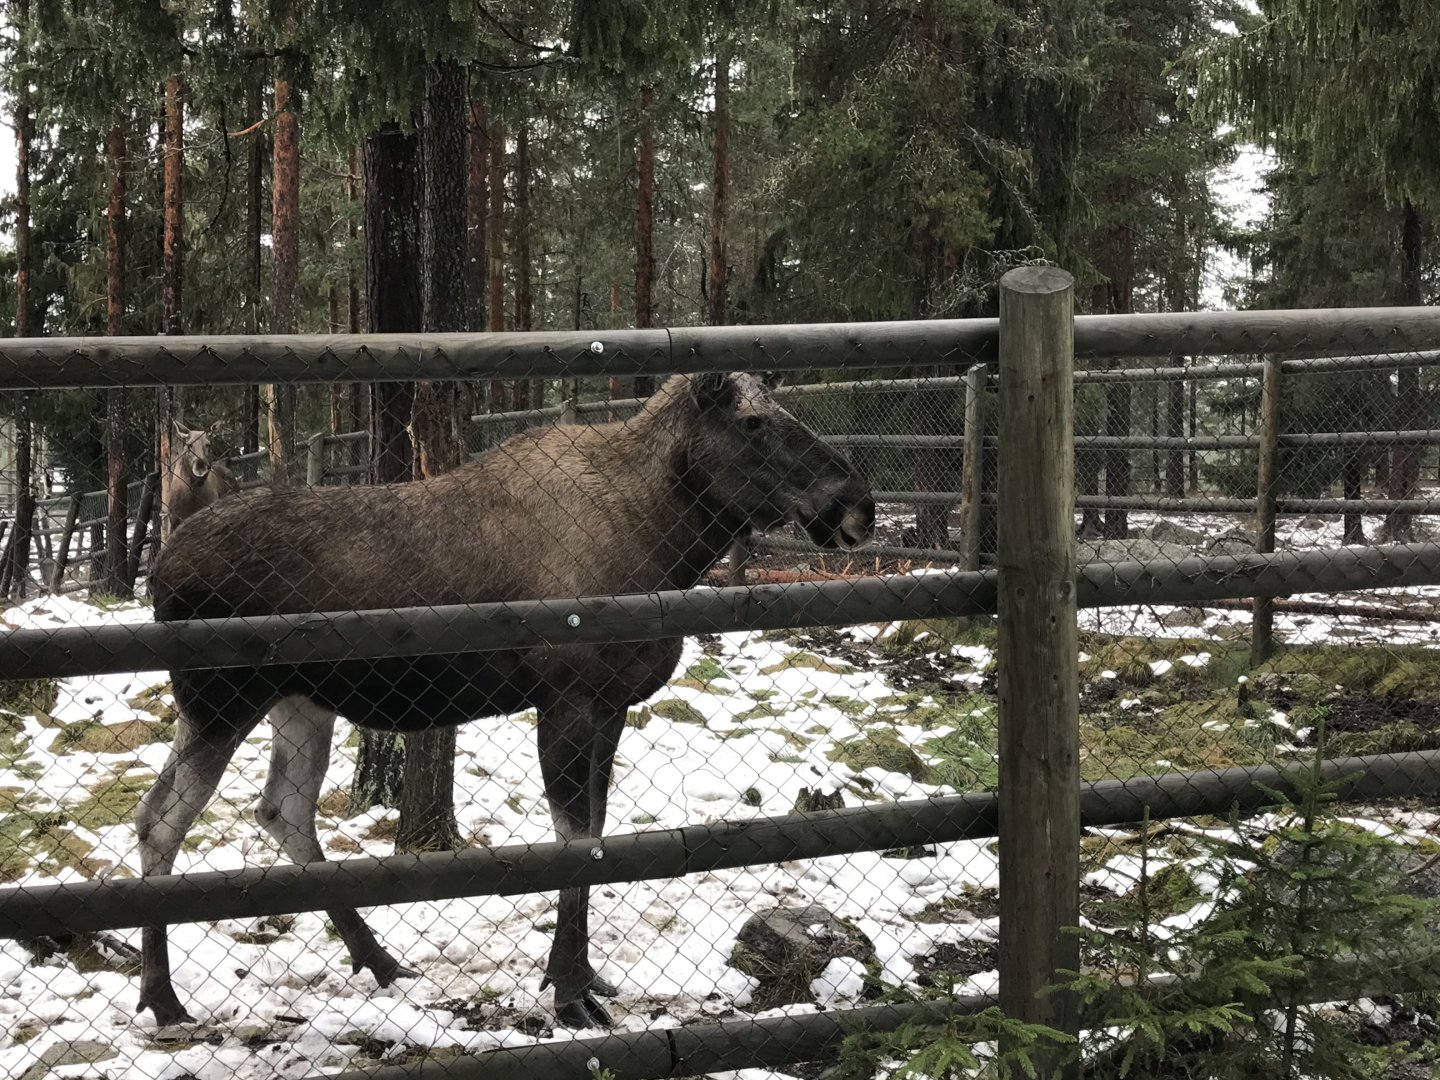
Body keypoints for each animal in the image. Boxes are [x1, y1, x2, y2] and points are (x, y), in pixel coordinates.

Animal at [136, 372, 875, 1030]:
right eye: (751, 422)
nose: (855, 503)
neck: (665, 546)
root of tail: (160, 568)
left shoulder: (612, 705)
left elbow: (597, 836)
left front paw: (580, 976)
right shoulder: (570, 698)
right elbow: (574, 843)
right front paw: (569, 997)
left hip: (300, 701)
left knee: (282, 811)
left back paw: (380, 961)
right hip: (220, 698)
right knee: (161, 820)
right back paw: (163, 999)